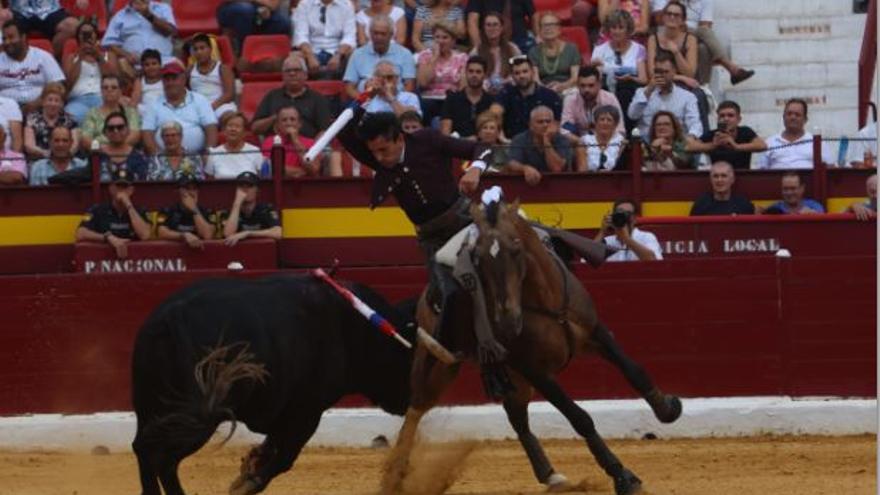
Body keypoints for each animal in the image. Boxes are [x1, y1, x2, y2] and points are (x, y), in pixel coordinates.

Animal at [132, 276, 418, 495]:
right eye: (409, 361)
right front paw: (248, 482)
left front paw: (250, 465)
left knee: (143, 449)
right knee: (162, 458)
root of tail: (171, 317)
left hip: (151, 408)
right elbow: (286, 456)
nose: (408, 401)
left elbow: (272, 446)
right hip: (200, 417)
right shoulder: (307, 410)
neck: (355, 327)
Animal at [384, 201, 680, 495]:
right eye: (478, 258)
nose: (507, 321)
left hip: (513, 377)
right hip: (441, 366)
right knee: (416, 407)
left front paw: (667, 408)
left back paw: (550, 475)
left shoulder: (595, 332)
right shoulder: (534, 368)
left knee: (517, 418)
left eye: (516, 249)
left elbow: (633, 370)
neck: (545, 300)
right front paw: (623, 476)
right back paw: (394, 477)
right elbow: (578, 416)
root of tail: (424, 297)